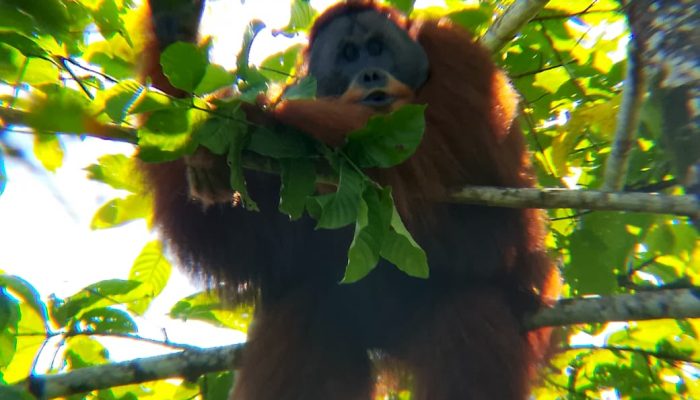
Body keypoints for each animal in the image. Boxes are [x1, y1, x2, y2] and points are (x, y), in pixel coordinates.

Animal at [140, 1, 559, 399]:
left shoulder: (459, 57)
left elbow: (433, 145)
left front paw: (252, 117)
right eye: (348, 54)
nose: (371, 73)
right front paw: (174, 32)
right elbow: (236, 239)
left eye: (376, 48)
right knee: (308, 308)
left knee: (471, 310)